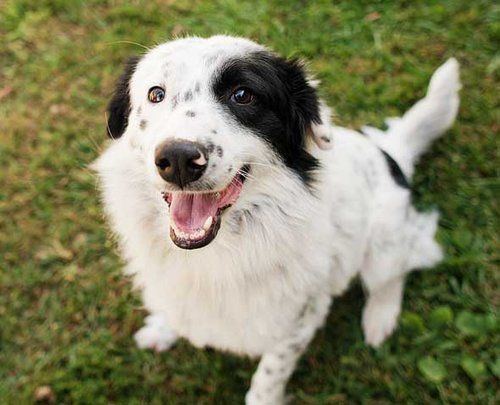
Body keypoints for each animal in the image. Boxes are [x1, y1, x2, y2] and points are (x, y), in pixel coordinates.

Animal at [94, 36, 460, 402]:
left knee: (396, 273)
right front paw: (162, 328)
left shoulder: (300, 319)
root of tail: (390, 152)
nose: (179, 159)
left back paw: (379, 318)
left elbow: (270, 375)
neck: (219, 252)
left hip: (385, 242)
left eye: (243, 95)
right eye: (156, 94)